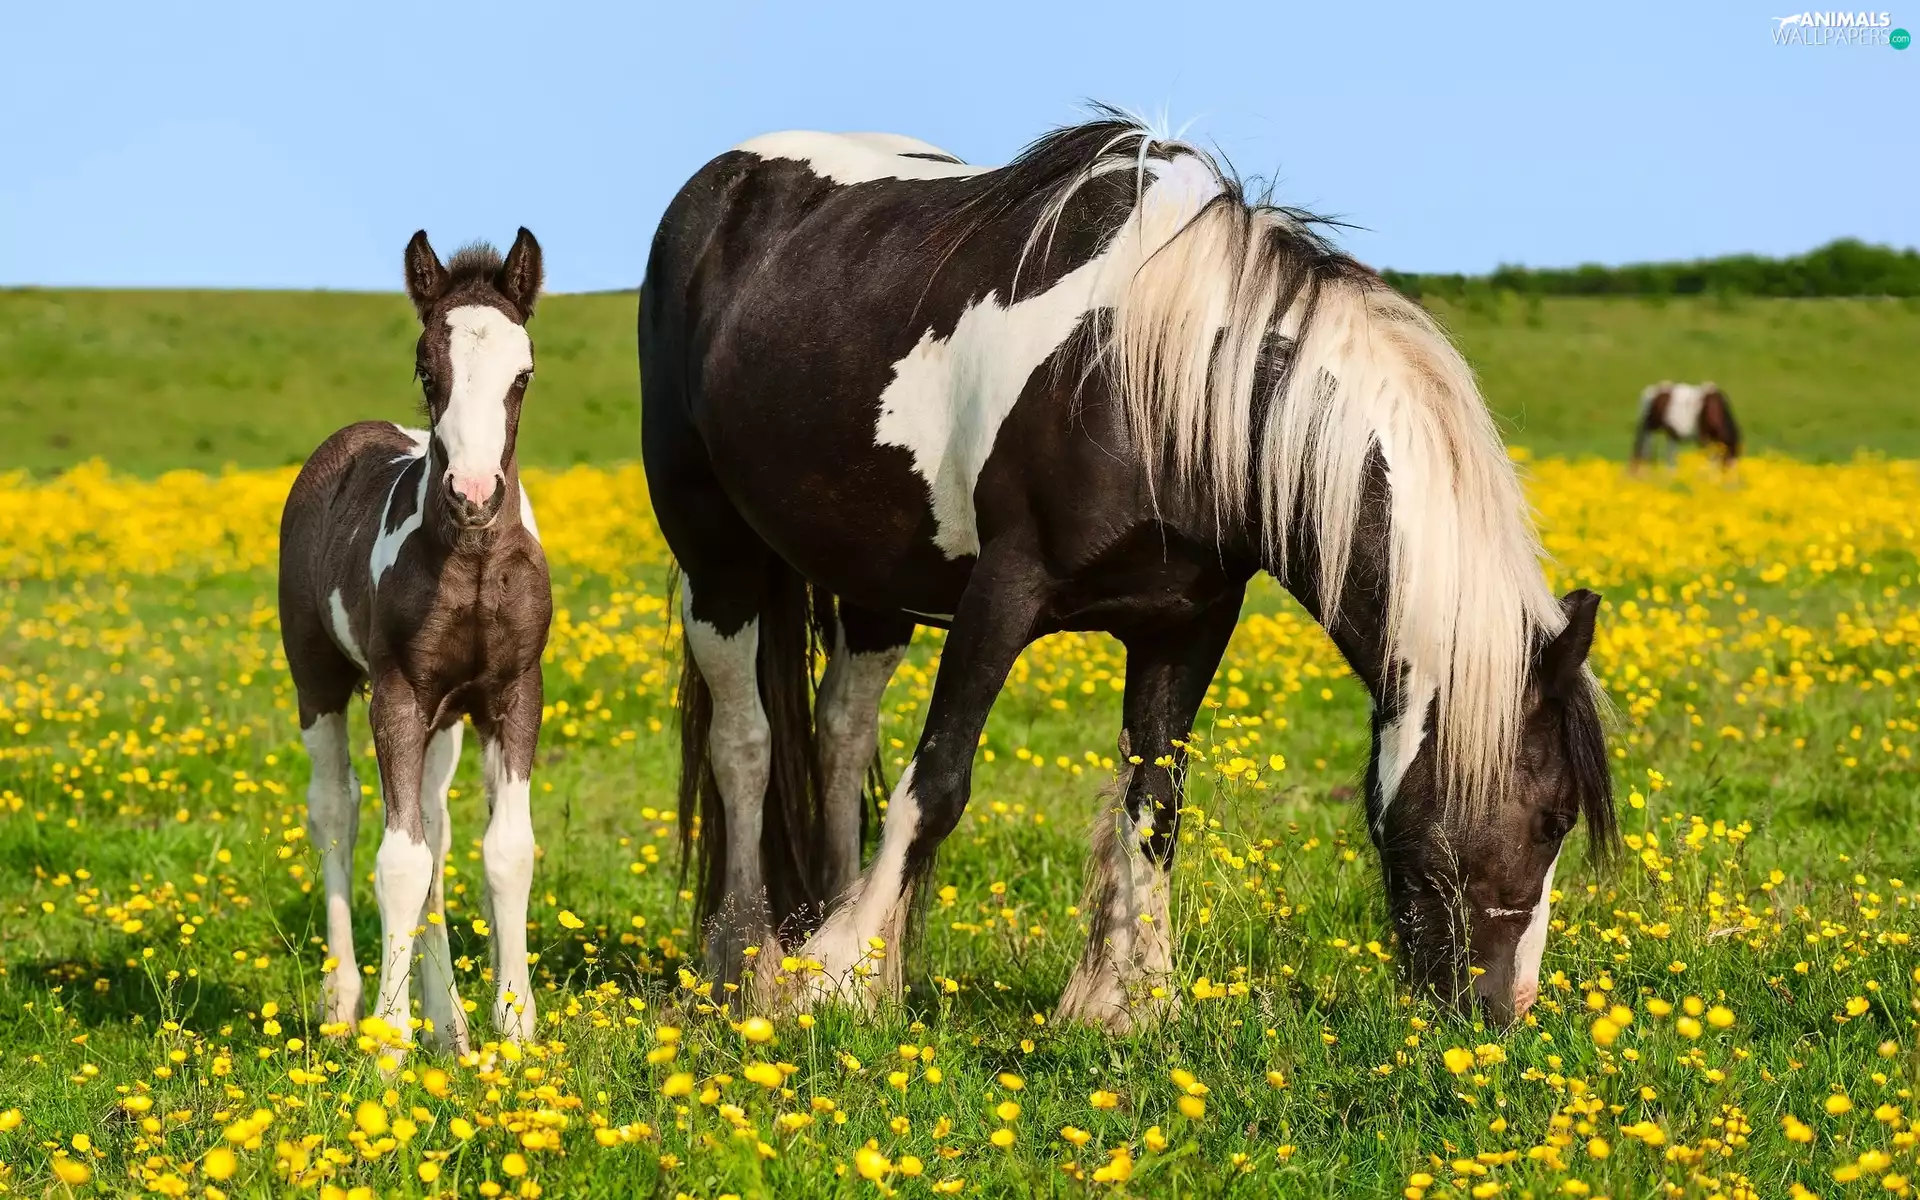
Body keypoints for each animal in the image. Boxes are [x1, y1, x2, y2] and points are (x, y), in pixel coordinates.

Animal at [279, 228, 551, 1055]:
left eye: (523, 373)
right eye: (427, 370)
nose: (474, 493)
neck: (472, 561)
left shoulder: (512, 694)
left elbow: (503, 851)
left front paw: (512, 1030)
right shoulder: (398, 695)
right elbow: (397, 861)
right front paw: (389, 1047)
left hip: (447, 723)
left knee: (436, 829)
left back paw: (449, 1024)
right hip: (318, 681)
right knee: (336, 811)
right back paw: (345, 1006)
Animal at [639, 112, 1615, 1030]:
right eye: (1552, 817)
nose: (1502, 1008)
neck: (1161, 382)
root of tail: (718, 188)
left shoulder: (1185, 622)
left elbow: (1155, 802)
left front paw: (1132, 1002)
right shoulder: (1003, 591)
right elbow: (938, 781)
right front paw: (832, 981)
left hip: (879, 581)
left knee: (841, 734)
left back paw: (836, 932)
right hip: (716, 558)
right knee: (746, 744)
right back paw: (744, 959)